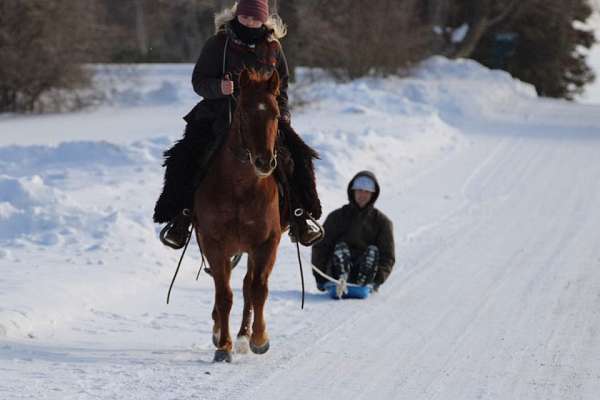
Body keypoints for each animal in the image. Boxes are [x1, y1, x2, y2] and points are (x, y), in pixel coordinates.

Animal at [192, 68, 286, 362]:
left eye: (276, 114)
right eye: (243, 112)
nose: (264, 162)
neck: (241, 188)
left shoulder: (266, 243)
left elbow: (257, 290)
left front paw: (259, 339)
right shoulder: (214, 243)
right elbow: (224, 295)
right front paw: (223, 345)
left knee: (247, 286)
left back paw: (245, 336)